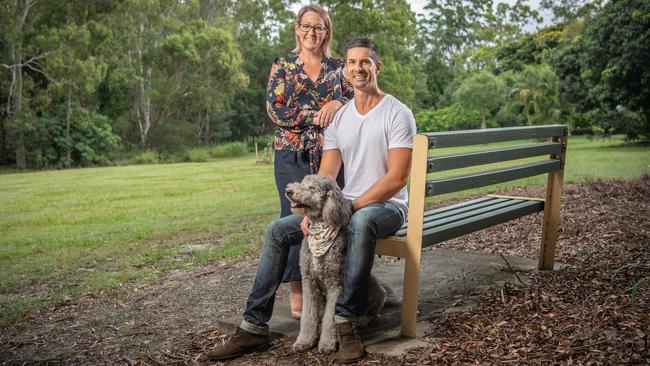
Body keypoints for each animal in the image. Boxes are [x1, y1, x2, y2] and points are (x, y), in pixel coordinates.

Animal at [282, 176, 384, 354]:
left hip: (371, 285)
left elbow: (330, 318)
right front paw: (303, 341)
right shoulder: (309, 282)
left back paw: (362, 319)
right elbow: (308, 315)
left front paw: (327, 343)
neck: (320, 229)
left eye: (312, 188)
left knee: (373, 309)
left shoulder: (335, 285)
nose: (289, 191)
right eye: (303, 182)